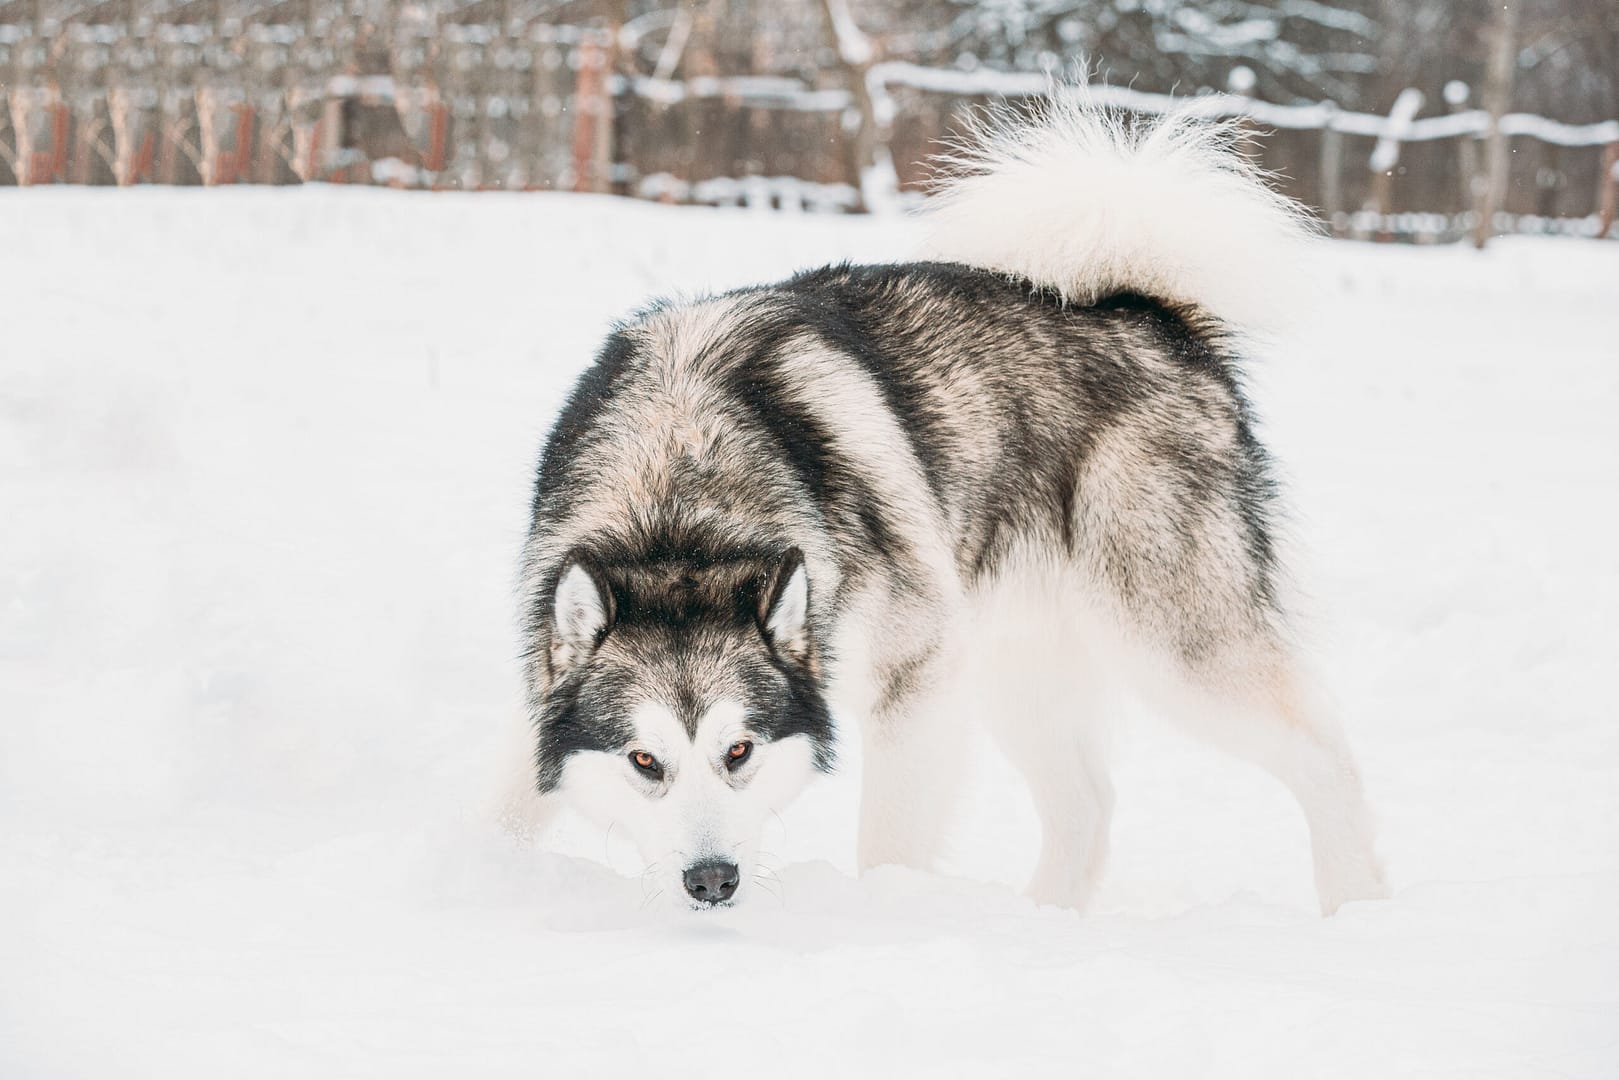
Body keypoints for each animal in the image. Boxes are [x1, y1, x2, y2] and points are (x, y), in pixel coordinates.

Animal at [501, 101, 1392, 919]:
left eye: (739, 750)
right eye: (642, 761)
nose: (711, 882)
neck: (679, 500)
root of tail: (1148, 316)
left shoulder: (917, 678)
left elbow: (888, 844)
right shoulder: (544, 691)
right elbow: (509, 807)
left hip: (1169, 647)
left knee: (1325, 753)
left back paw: (1357, 908)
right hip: (1015, 664)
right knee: (1086, 805)